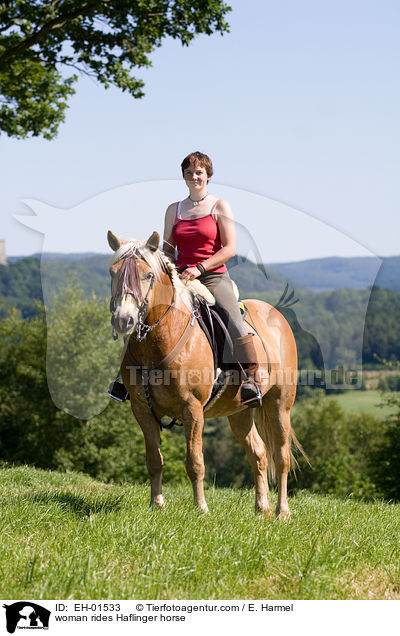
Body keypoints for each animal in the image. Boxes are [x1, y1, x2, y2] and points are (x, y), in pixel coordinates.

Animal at [106, 229, 300, 516]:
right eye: (113, 272)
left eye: (147, 275)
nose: (123, 319)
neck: (160, 340)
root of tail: (276, 315)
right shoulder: (142, 409)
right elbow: (154, 459)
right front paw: (156, 504)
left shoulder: (192, 409)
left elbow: (195, 461)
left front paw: (201, 508)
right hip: (239, 411)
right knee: (258, 452)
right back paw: (261, 507)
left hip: (280, 404)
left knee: (281, 456)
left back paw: (282, 511)